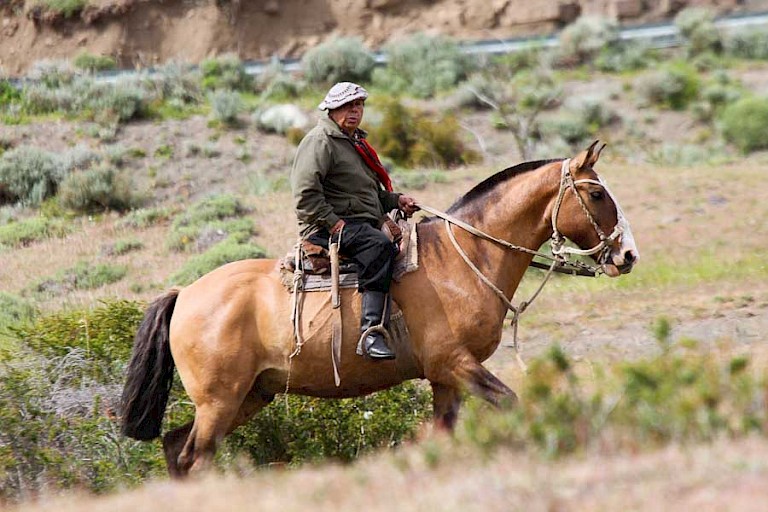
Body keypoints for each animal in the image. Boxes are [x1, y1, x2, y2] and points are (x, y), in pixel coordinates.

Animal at [120, 141, 639, 477]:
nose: (627, 255)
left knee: (175, 447)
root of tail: (185, 293)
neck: (463, 258)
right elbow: (511, 402)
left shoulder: (445, 377)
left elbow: (443, 433)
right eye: (596, 194)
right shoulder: (456, 364)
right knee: (194, 456)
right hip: (220, 400)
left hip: (249, 395)